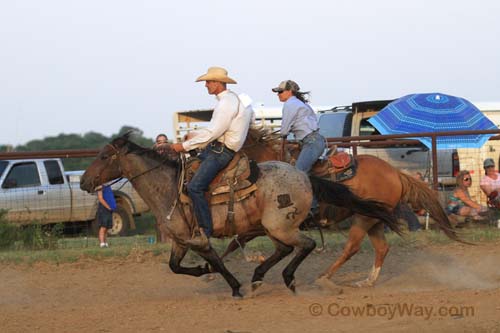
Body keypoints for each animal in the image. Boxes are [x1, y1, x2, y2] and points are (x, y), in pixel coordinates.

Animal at [81, 134, 398, 296]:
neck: (168, 187)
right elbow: (175, 266)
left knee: (306, 245)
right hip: (275, 227)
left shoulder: (199, 239)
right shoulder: (181, 240)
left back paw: (290, 279)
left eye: (105, 156)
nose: (84, 181)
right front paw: (203, 272)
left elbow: (218, 261)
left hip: (281, 226)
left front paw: (232, 286)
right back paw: (259, 278)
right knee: (287, 249)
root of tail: (305, 177)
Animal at [229, 126, 458, 290]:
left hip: (364, 219)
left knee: (352, 248)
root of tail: (395, 172)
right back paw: (367, 281)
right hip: (373, 218)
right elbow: (235, 242)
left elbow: (237, 241)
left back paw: (324, 277)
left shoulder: (266, 224)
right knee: (381, 248)